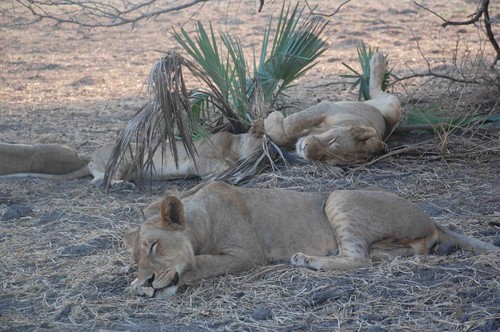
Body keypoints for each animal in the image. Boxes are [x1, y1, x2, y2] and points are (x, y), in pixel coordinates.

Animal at [123, 180, 498, 300]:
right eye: (136, 260)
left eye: (154, 246)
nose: (148, 280)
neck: (199, 219)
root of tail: (431, 218)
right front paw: (136, 283)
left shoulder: (247, 253)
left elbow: (199, 263)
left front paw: (144, 286)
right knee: (381, 254)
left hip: (339, 197)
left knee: (358, 258)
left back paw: (308, 260)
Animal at [264, 52, 400, 165]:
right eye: (332, 141)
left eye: (324, 158)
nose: (305, 149)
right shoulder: (327, 107)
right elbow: (290, 124)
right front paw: (273, 119)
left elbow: (285, 136)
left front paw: (271, 122)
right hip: (392, 107)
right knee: (375, 90)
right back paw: (378, 59)